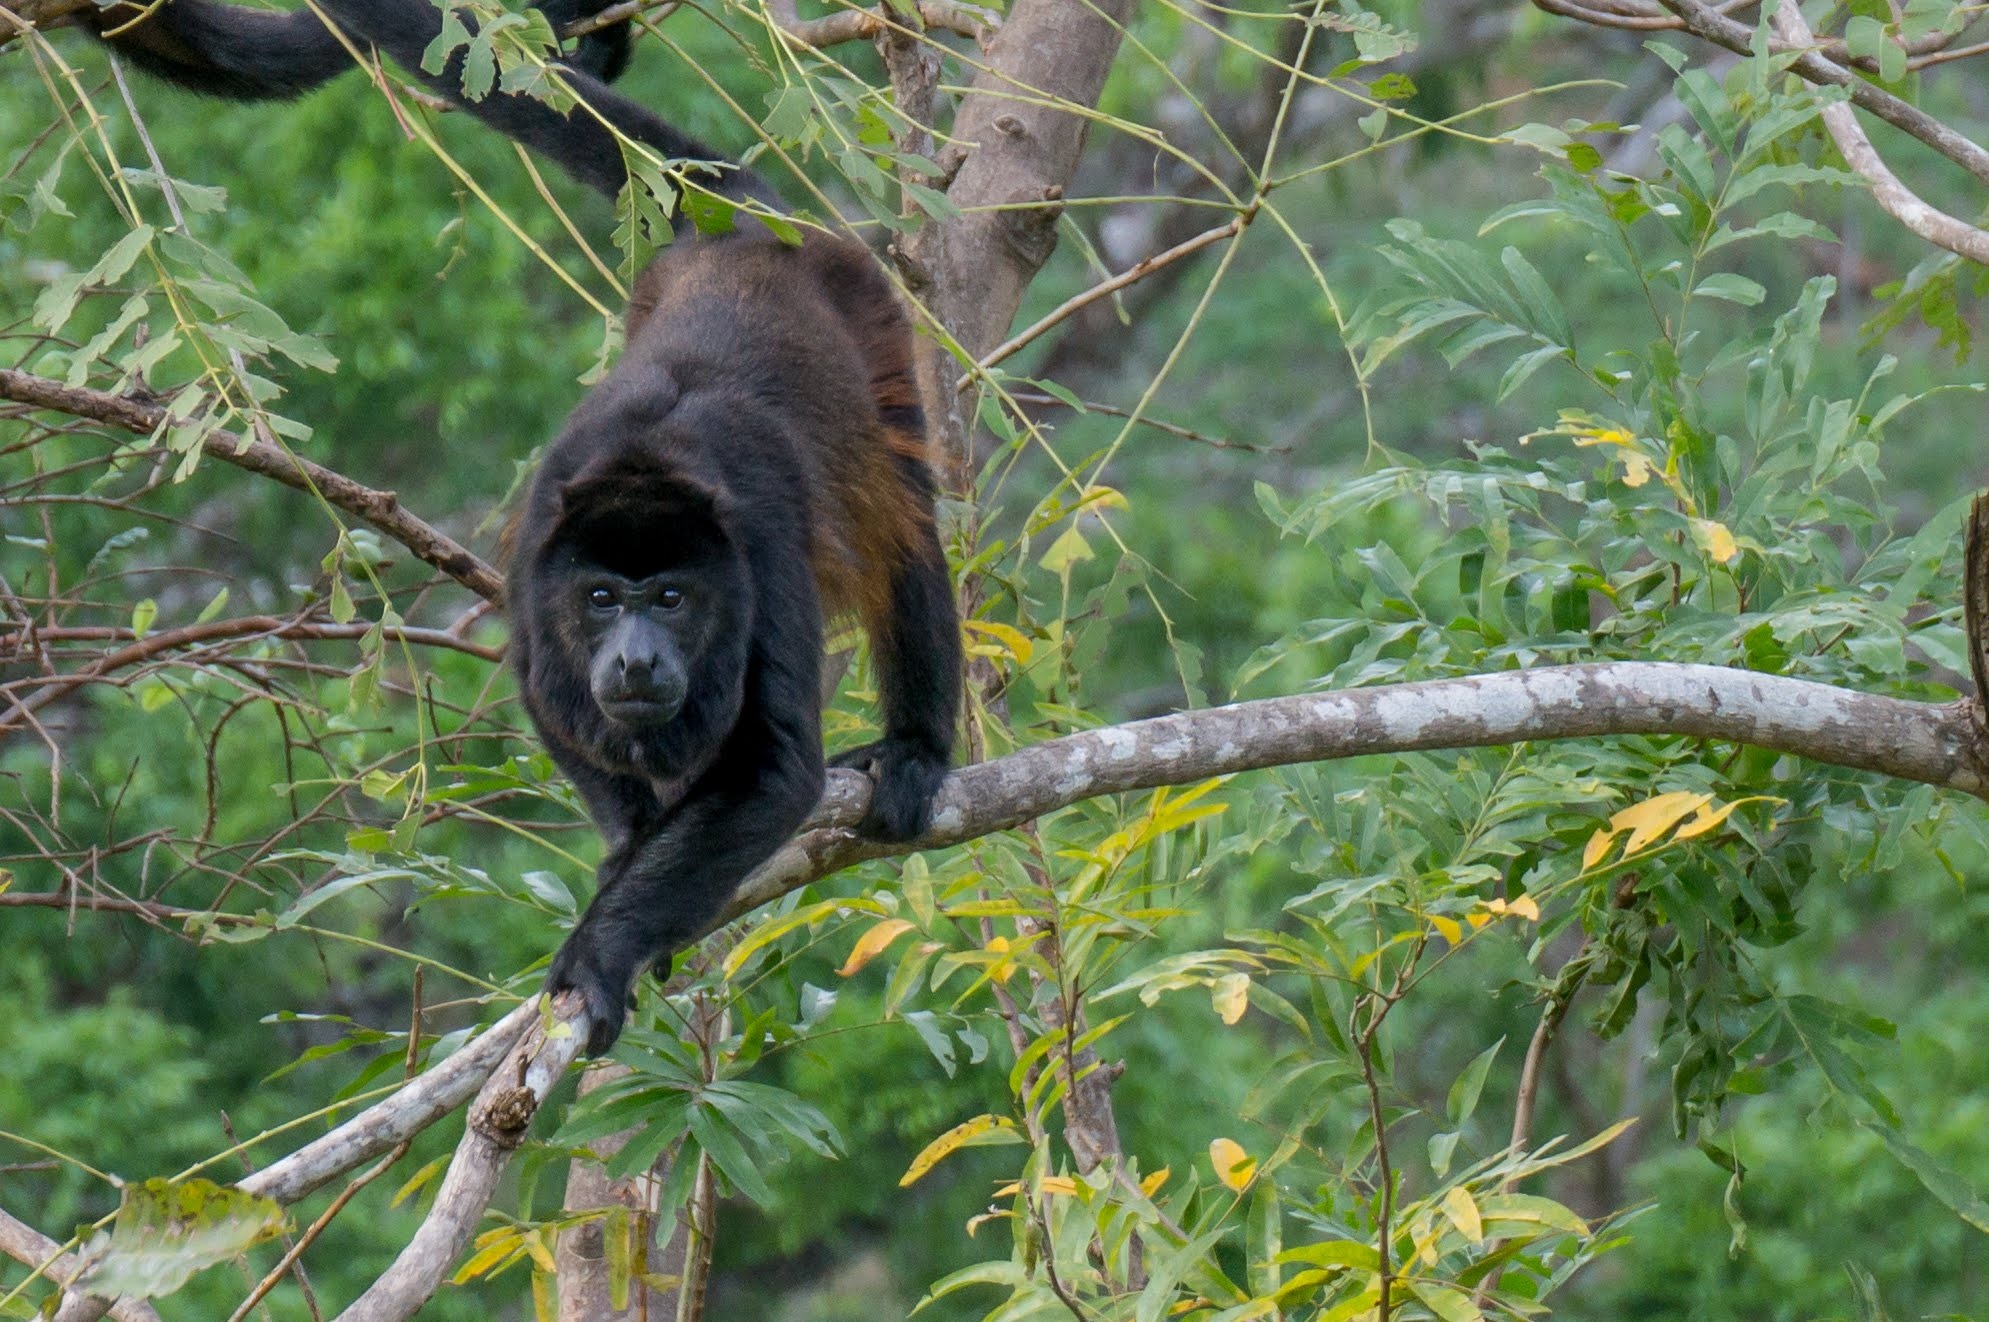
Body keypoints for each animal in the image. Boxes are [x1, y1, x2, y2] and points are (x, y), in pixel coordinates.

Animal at [87, 0, 962, 1049]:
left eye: (673, 598)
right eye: (603, 598)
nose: (635, 660)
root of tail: (743, 225)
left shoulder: (758, 540)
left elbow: (777, 766)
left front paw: (602, 951)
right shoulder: (541, 545)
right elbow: (550, 699)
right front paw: (630, 858)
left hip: (866, 306)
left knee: (905, 530)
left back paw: (915, 749)